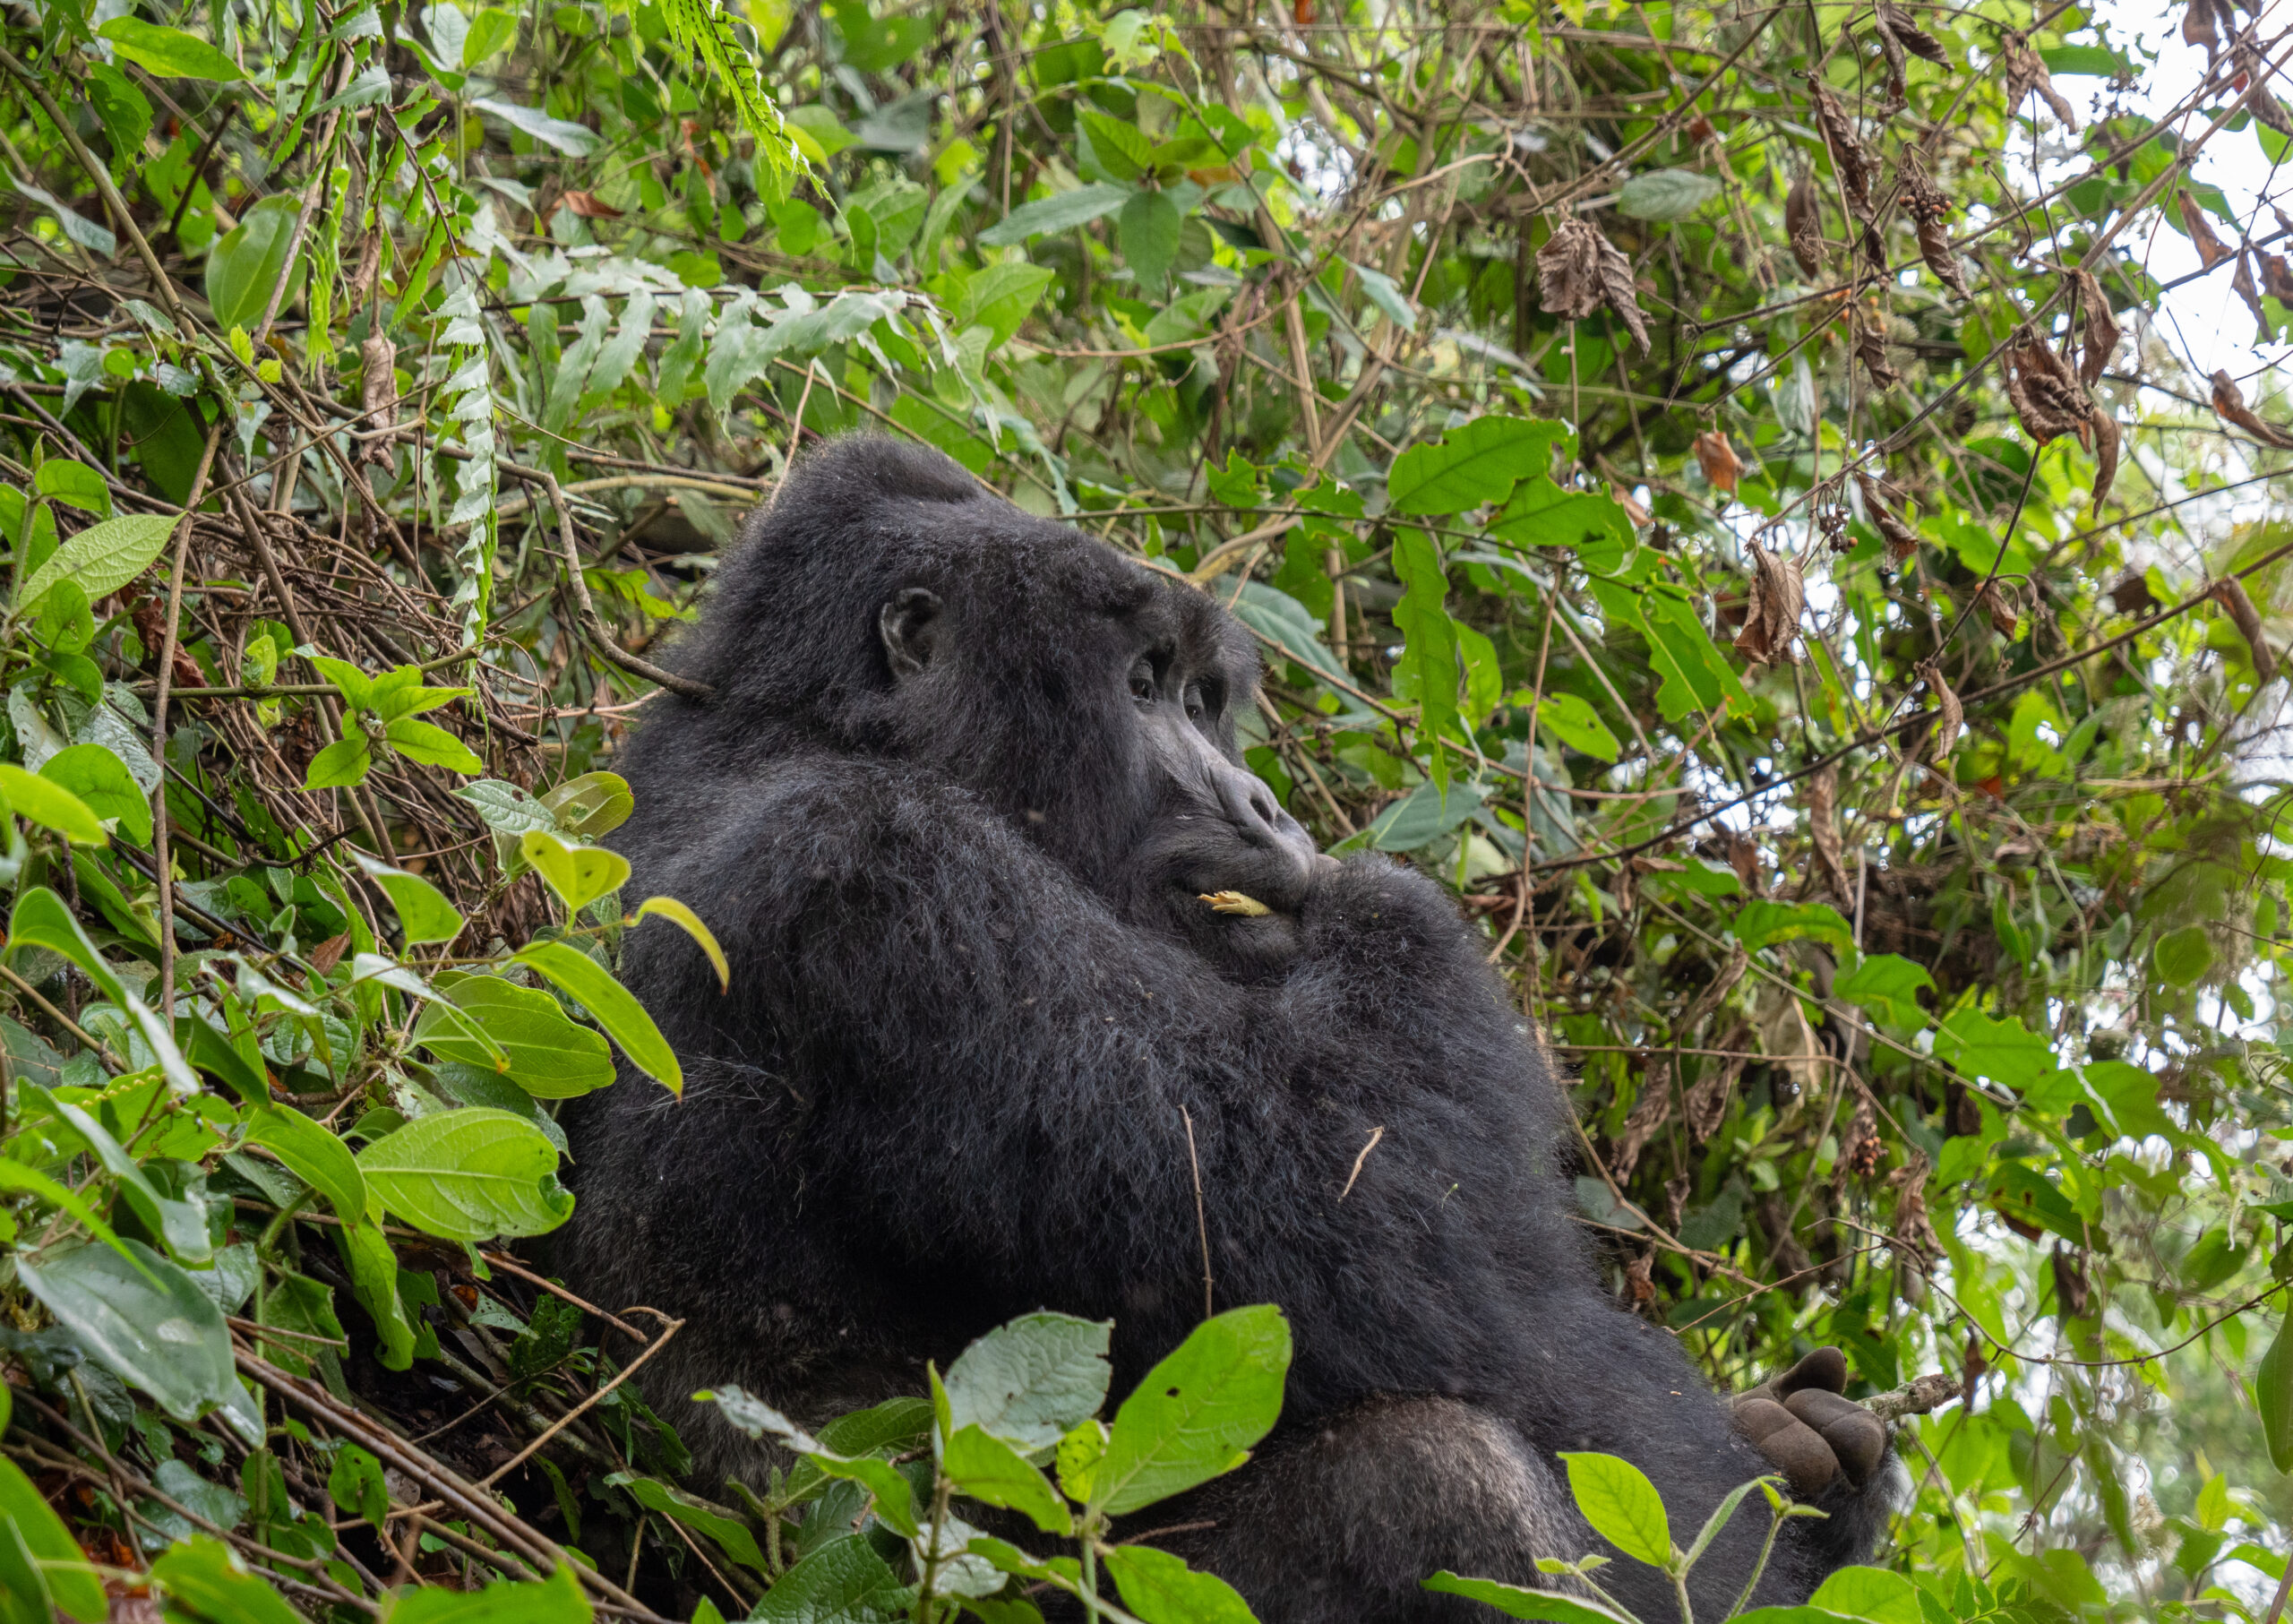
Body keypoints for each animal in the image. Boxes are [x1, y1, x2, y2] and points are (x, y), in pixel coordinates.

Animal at [559, 438, 1898, 1614]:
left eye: (1208, 700)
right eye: (1145, 687)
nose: (1266, 805)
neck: (803, 722)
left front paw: (1808, 1473)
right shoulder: (884, 876)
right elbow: (1399, 1244)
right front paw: (1388, 908)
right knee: (1432, 1480)